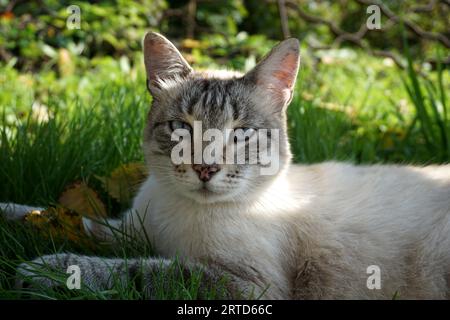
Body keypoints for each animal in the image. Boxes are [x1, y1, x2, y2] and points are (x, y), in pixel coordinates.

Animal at [3, 31, 450, 298]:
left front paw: (47, 270)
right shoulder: (128, 230)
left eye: (241, 133)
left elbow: (146, 270)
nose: (205, 169)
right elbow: (55, 216)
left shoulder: (249, 286)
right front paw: (12, 216)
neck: (181, 216)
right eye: (181, 128)